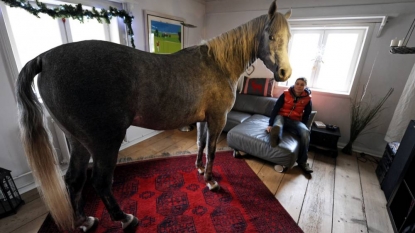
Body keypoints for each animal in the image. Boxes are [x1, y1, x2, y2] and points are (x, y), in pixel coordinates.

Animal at [15, 0, 292, 231]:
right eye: (270, 35)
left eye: (288, 37)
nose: (285, 72)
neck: (218, 64)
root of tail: (46, 59)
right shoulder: (217, 119)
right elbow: (212, 150)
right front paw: (211, 181)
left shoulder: (203, 120)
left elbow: (200, 145)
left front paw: (199, 169)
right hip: (104, 142)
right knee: (100, 182)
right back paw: (125, 218)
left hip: (78, 141)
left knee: (74, 180)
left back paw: (85, 221)